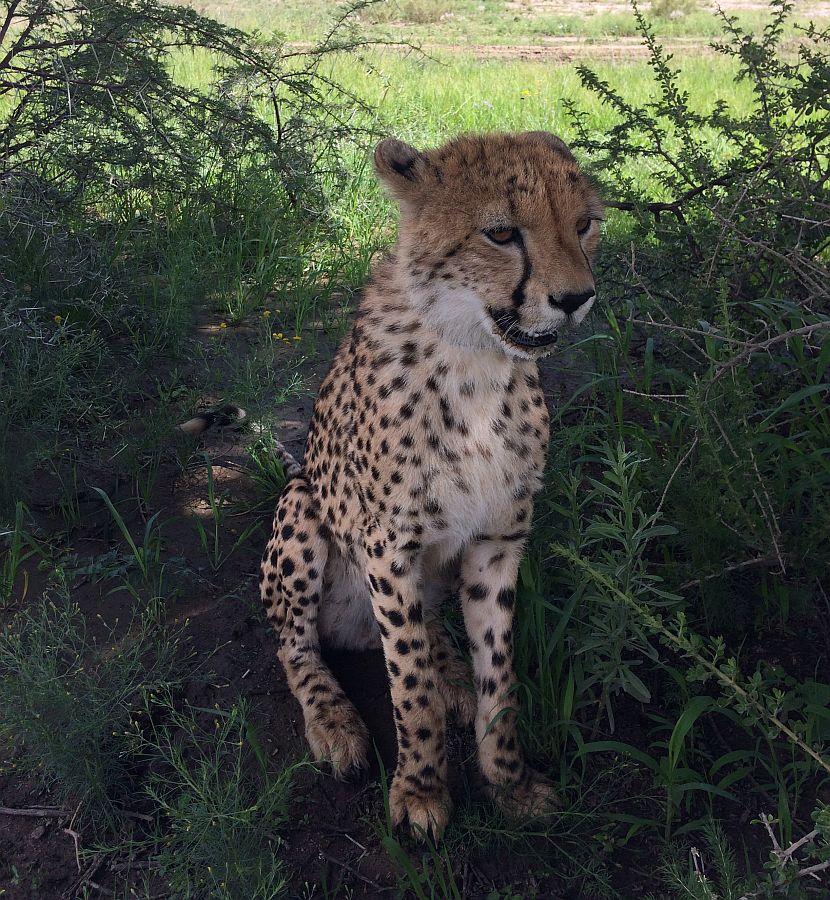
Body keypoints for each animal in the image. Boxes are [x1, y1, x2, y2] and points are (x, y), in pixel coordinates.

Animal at [260, 130, 604, 840]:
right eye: (501, 233)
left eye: (585, 224)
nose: (576, 298)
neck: (474, 362)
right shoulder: (387, 548)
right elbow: (406, 684)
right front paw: (420, 791)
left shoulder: (499, 541)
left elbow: (500, 673)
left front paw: (509, 783)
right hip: (302, 509)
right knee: (295, 645)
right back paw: (334, 721)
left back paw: (453, 675)